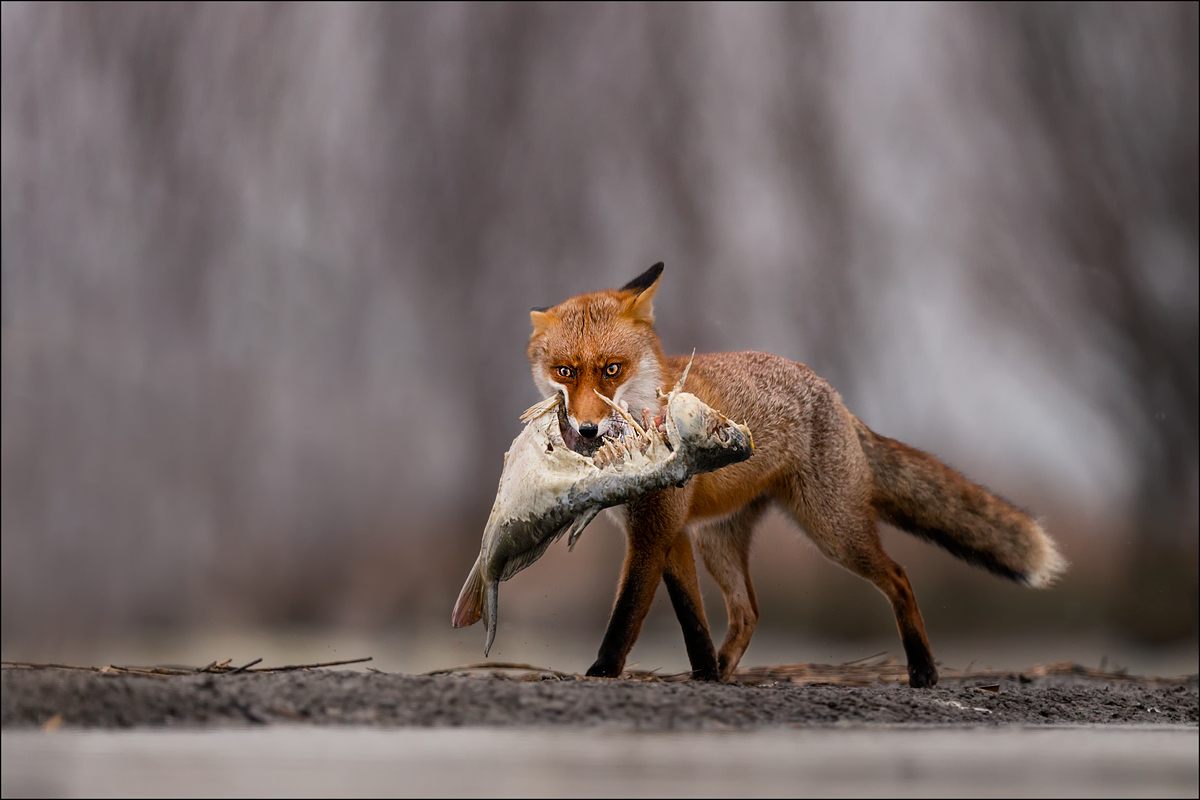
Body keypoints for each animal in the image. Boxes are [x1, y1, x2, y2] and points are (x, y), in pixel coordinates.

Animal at [520, 262, 1065, 690]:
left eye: (612, 369)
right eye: (566, 372)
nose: (587, 430)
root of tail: (834, 394)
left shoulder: (655, 530)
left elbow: (628, 613)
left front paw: (602, 671)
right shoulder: (670, 533)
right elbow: (691, 618)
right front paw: (704, 673)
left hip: (832, 531)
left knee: (899, 576)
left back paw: (924, 671)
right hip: (719, 541)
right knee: (748, 612)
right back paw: (723, 670)